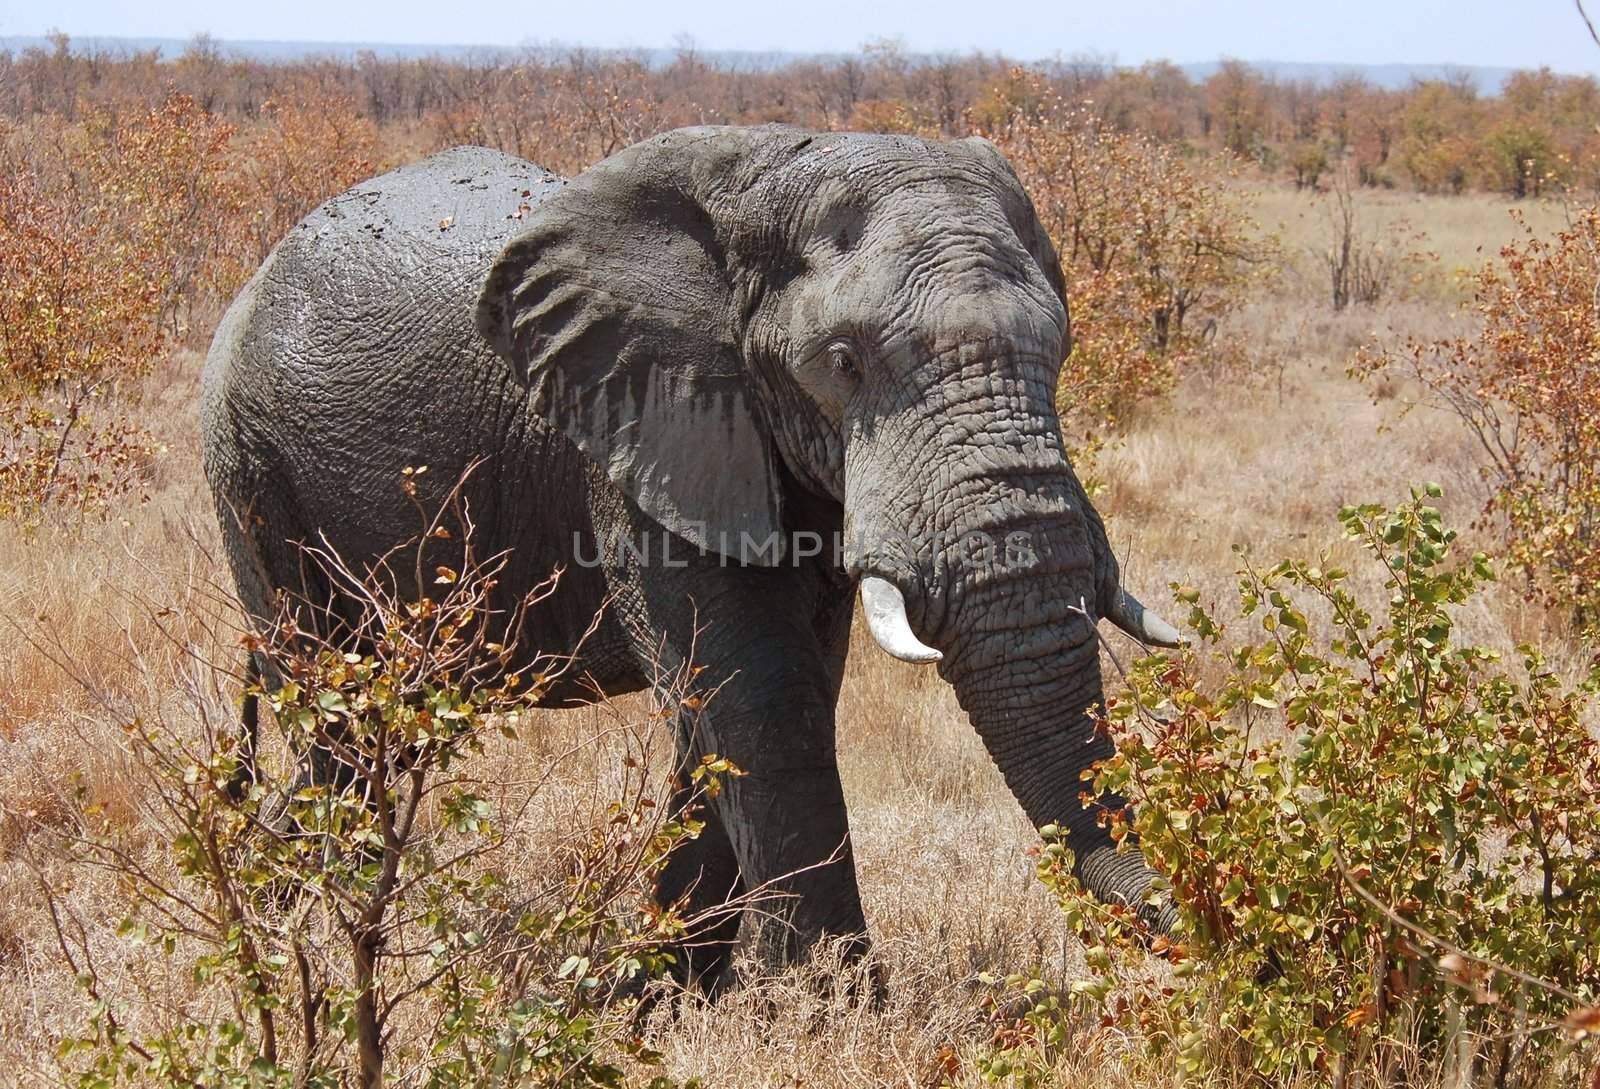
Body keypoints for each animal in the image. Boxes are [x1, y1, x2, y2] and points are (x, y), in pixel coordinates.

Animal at [200, 125, 1184, 985]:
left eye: (1062, 347)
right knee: (341, 718)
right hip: (255, 477)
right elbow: (760, 693)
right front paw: (825, 1010)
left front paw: (659, 995)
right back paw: (299, 935)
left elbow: (751, 701)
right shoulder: (641, 436)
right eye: (843, 361)